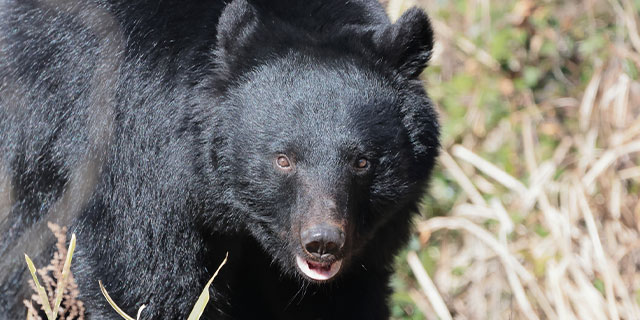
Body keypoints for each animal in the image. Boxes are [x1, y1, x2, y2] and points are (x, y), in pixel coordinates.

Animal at [0, 0, 440, 318]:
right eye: (283, 159)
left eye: (362, 162)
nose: (323, 243)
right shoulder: (131, 159)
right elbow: (141, 281)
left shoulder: (370, 238)